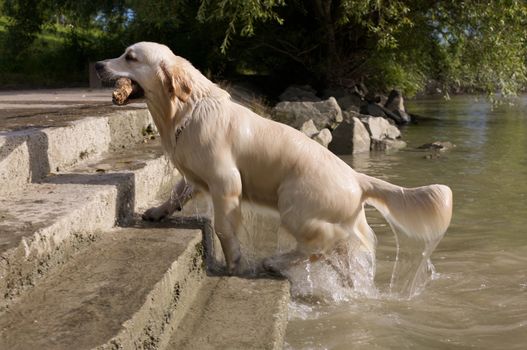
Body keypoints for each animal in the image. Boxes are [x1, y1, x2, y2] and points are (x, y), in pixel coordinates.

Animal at [96, 41, 454, 276]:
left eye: (130, 57)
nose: (97, 65)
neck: (186, 110)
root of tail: (357, 178)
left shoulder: (226, 181)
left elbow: (224, 227)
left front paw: (236, 262)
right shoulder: (197, 175)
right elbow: (177, 193)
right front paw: (156, 211)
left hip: (293, 203)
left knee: (323, 244)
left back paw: (275, 262)